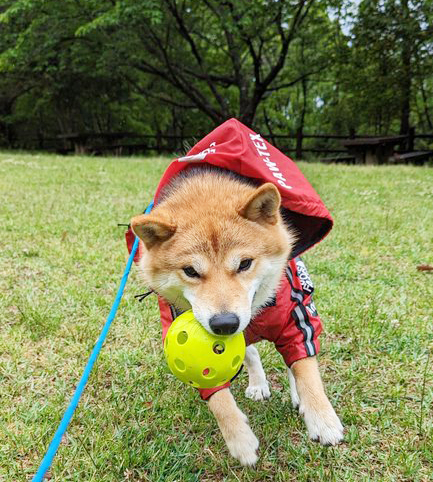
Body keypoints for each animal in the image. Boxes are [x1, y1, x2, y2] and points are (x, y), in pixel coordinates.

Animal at [126, 117, 342, 466]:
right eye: (190, 271)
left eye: (244, 264)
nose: (225, 324)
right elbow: (218, 398)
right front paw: (239, 440)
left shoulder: (296, 312)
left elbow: (305, 366)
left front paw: (322, 418)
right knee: (251, 350)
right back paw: (257, 383)